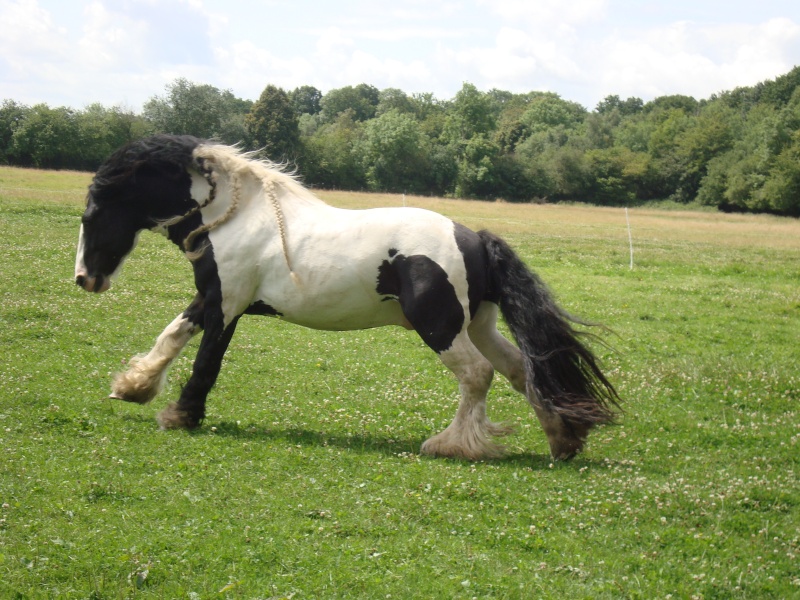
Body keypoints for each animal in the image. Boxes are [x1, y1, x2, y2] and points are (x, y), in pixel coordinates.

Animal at [73, 135, 620, 460]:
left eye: (92, 211)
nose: (84, 279)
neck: (237, 217)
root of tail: (475, 238)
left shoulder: (227, 305)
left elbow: (206, 360)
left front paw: (181, 415)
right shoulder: (211, 297)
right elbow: (172, 336)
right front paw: (134, 387)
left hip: (440, 325)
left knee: (477, 374)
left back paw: (450, 444)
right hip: (479, 324)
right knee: (519, 369)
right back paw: (561, 438)